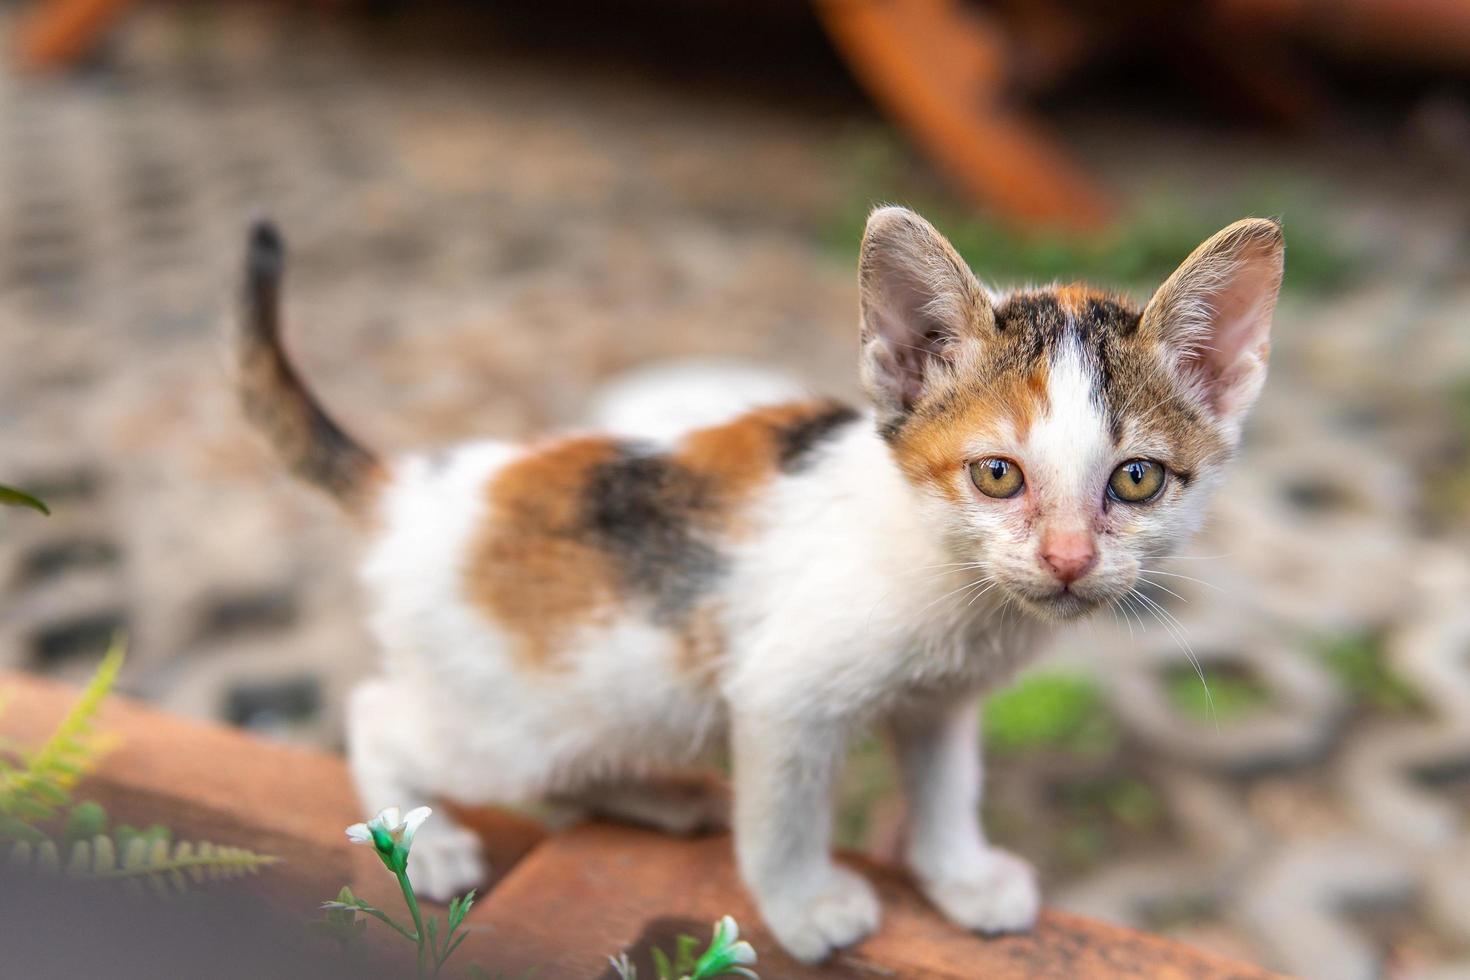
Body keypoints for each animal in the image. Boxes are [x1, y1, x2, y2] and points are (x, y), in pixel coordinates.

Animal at [235, 208, 1281, 963]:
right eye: (997, 475)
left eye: (1136, 480)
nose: (1068, 559)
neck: (959, 589)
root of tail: (413, 491)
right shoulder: (786, 695)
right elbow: (782, 814)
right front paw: (806, 907)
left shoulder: (940, 702)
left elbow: (947, 783)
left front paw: (961, 877)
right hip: (511, 723)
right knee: (381, 714)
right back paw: (422, 841)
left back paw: (656, 796)